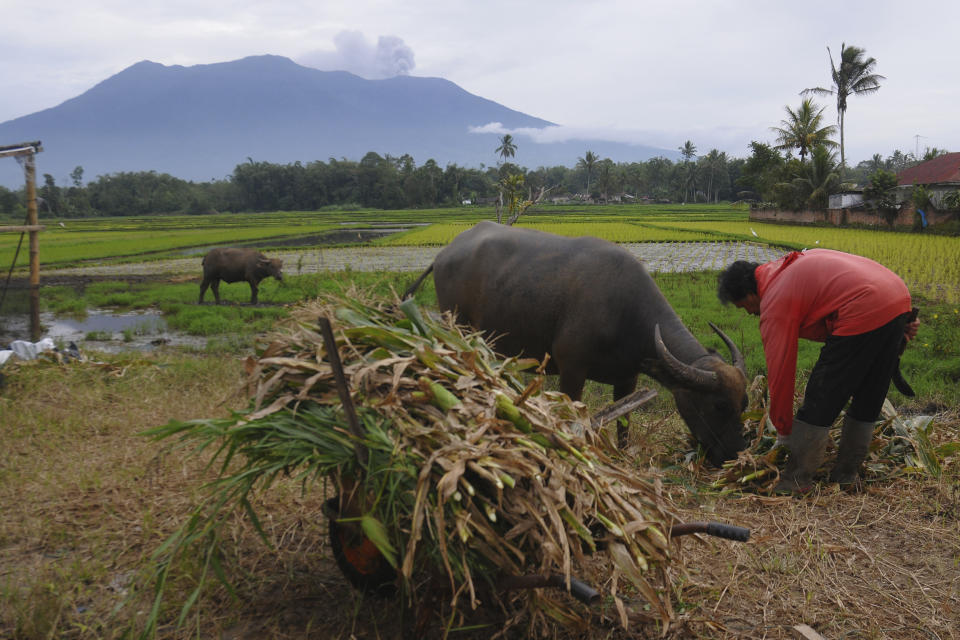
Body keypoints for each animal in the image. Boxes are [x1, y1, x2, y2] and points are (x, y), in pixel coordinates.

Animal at [404, 221, 752, 464]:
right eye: (719, 405)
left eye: (744, 404)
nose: (736, 453)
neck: (624, 310)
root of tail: (445, 253)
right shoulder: (572, 370)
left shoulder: (628, 378)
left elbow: (624, 425)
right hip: (458, 328)